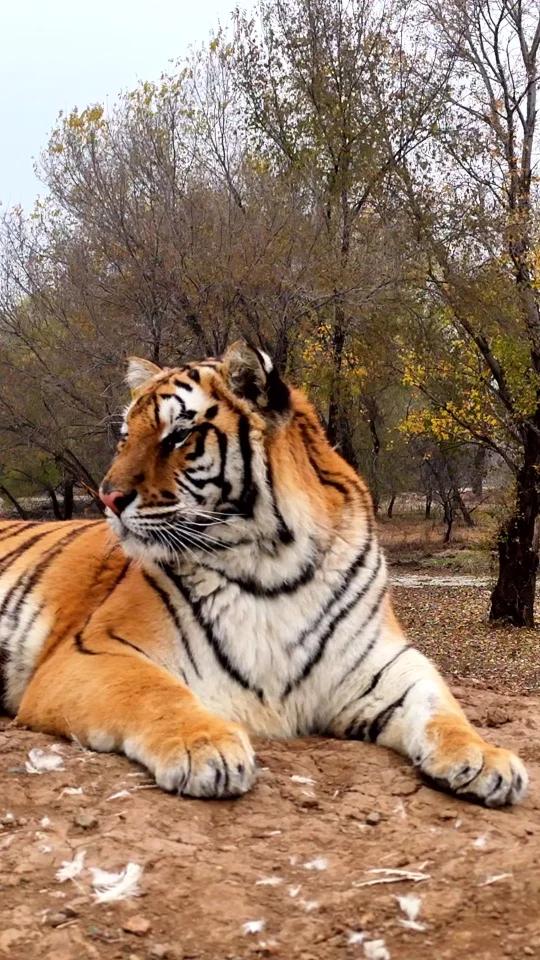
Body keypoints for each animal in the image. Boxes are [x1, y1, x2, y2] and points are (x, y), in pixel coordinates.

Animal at [0, 341, 527, 805]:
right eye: (126, 438)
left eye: (178, 436)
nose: (107, 498)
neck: (272, 566)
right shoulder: (90, 652)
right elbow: (153, 691)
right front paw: (205, 747)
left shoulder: (379, 662)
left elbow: (440, 706)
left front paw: (487, 758)